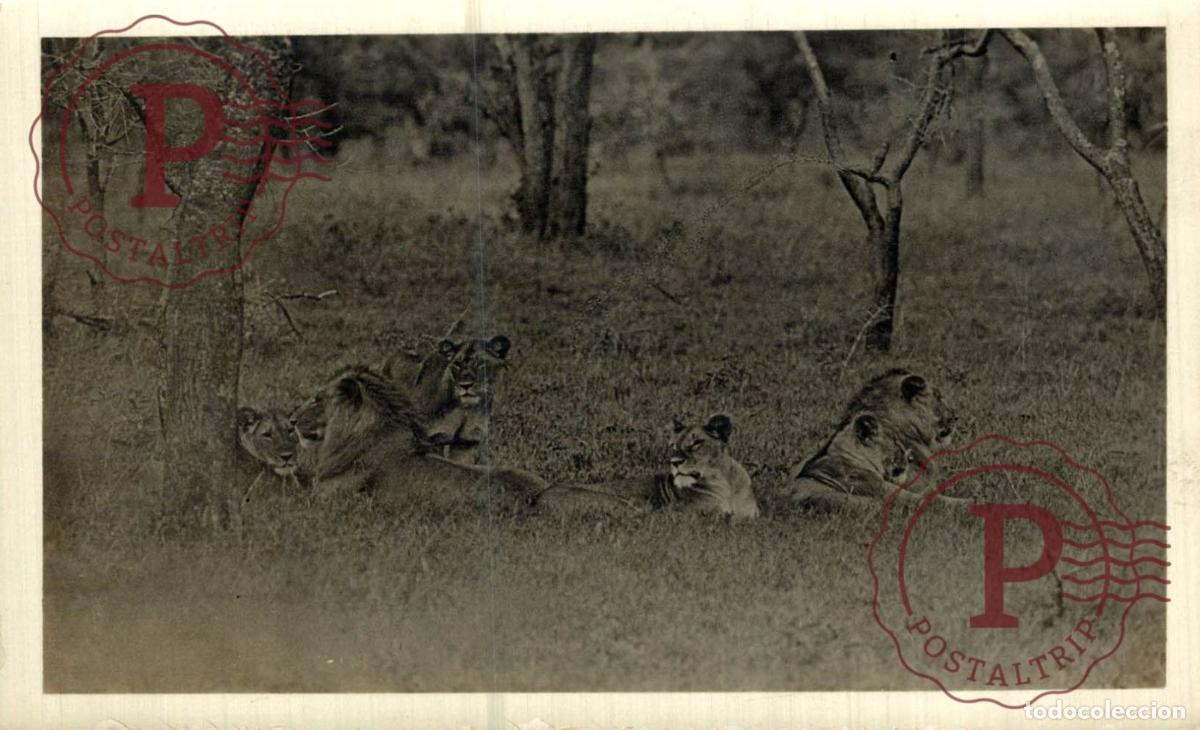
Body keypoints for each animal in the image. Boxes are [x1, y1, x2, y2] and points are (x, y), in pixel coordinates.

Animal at [534, 414, 759, 519]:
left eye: (696, 443)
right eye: (673, 445)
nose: (674, 462)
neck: (726, 484)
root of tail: (536, 499)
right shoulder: (689, 513)